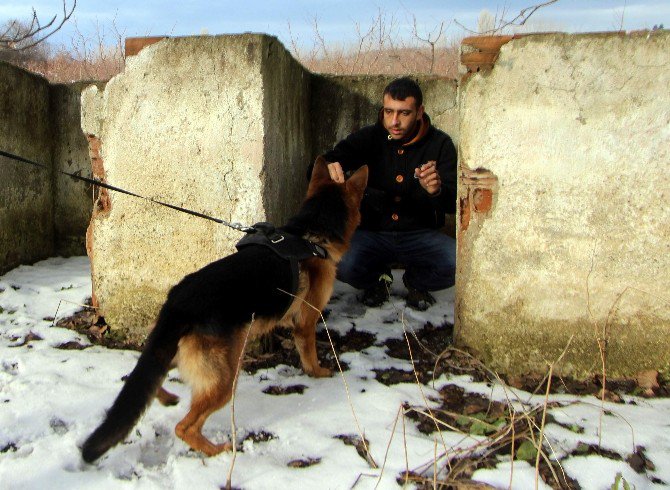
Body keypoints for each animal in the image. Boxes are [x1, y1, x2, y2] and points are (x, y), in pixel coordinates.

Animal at [82, 159, 372, 462]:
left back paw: (167, 398)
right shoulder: (306, 322)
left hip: (174, 351)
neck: (310, 234)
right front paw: (318, 372)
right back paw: (217, 450)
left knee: (148, 377)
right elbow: (310, 354)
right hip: (224, 381)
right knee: (184, 427)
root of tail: (179, 304)